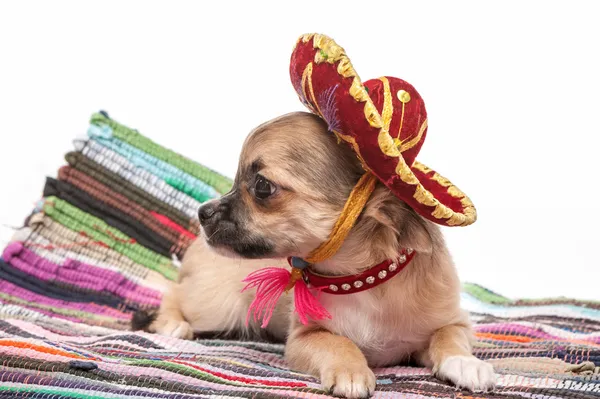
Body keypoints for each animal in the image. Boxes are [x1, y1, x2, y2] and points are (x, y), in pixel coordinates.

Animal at [139, 112, 496, 399]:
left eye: (262, 186)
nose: (203, 211)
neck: (361, 280)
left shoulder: (454, 321)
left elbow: (448, 337)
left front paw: (465, 363)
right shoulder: (304, 338)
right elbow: (338, 342)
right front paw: (351, 371)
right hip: (218, 306)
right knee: (174, 292)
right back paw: (172, 323)